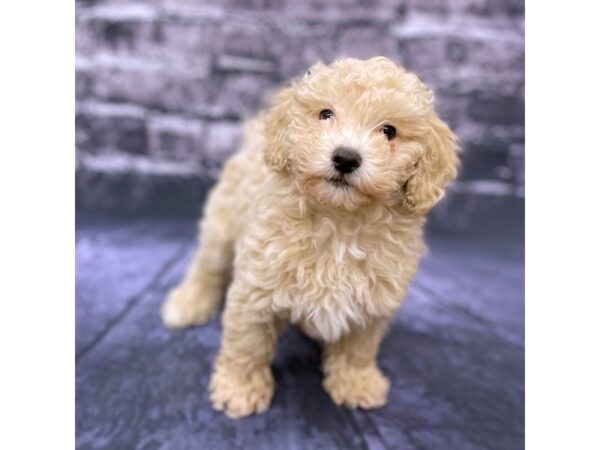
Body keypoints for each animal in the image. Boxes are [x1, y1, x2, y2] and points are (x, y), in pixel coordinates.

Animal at [159, 58, 460, 420]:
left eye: (389, 131)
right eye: (326, 114)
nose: (346, 157)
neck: (340, 222)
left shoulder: (373, 302)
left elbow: (358, 348)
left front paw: (356, 383)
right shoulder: (256, 287)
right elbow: (247, 343)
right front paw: (239, 388)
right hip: (222, 224)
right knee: (208, 266)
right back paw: (188, 303)